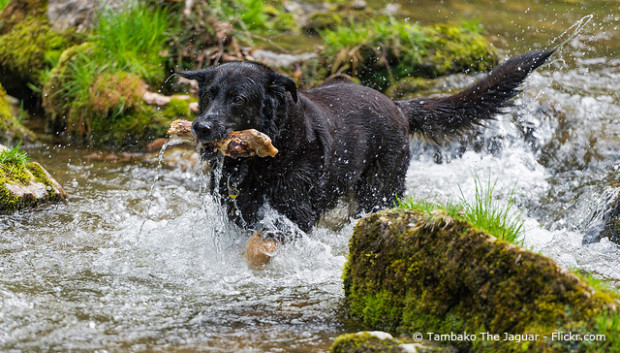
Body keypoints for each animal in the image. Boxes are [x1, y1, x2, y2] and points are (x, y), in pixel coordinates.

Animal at [177, 48, 556, 245]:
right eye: (208, 95)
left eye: (239, 100)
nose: (201, 127)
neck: (264, 159)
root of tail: (398, 107)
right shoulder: (235, 210)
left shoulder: (295, 215)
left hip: (379, 191)